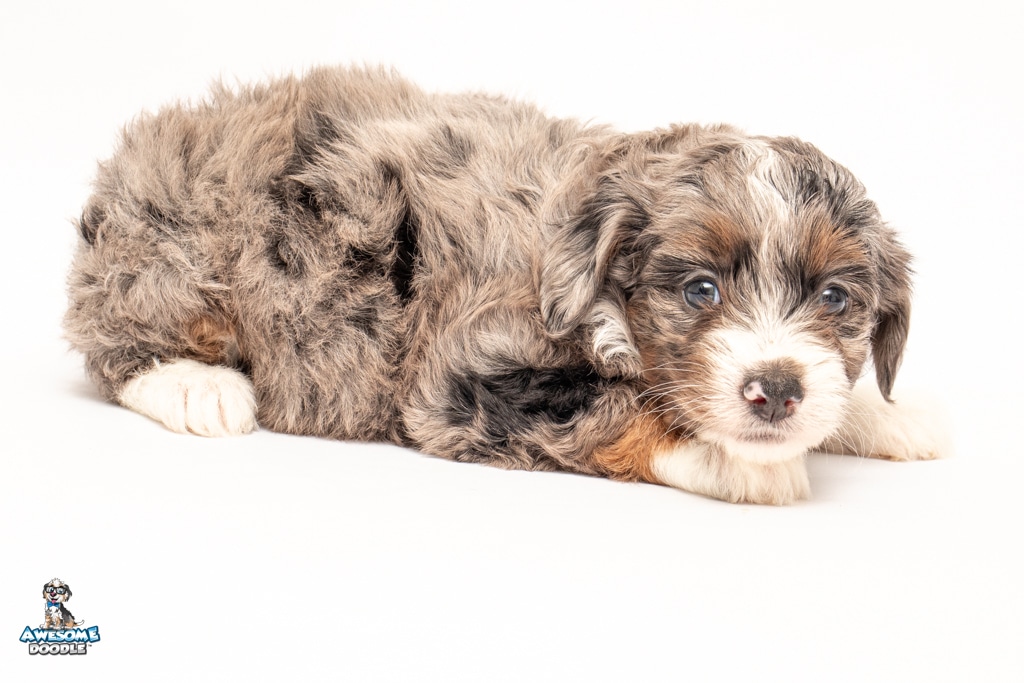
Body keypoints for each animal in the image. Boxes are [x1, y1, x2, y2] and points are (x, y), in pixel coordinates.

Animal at [64, 66, 944, 504]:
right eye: (700, 291)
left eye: (835, 299)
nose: (776, 388)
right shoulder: (459, 379)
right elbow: (611, 410)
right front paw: (742, 462)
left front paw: (886, 414)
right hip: (179, 245)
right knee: (111, 342)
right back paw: (199, 387)